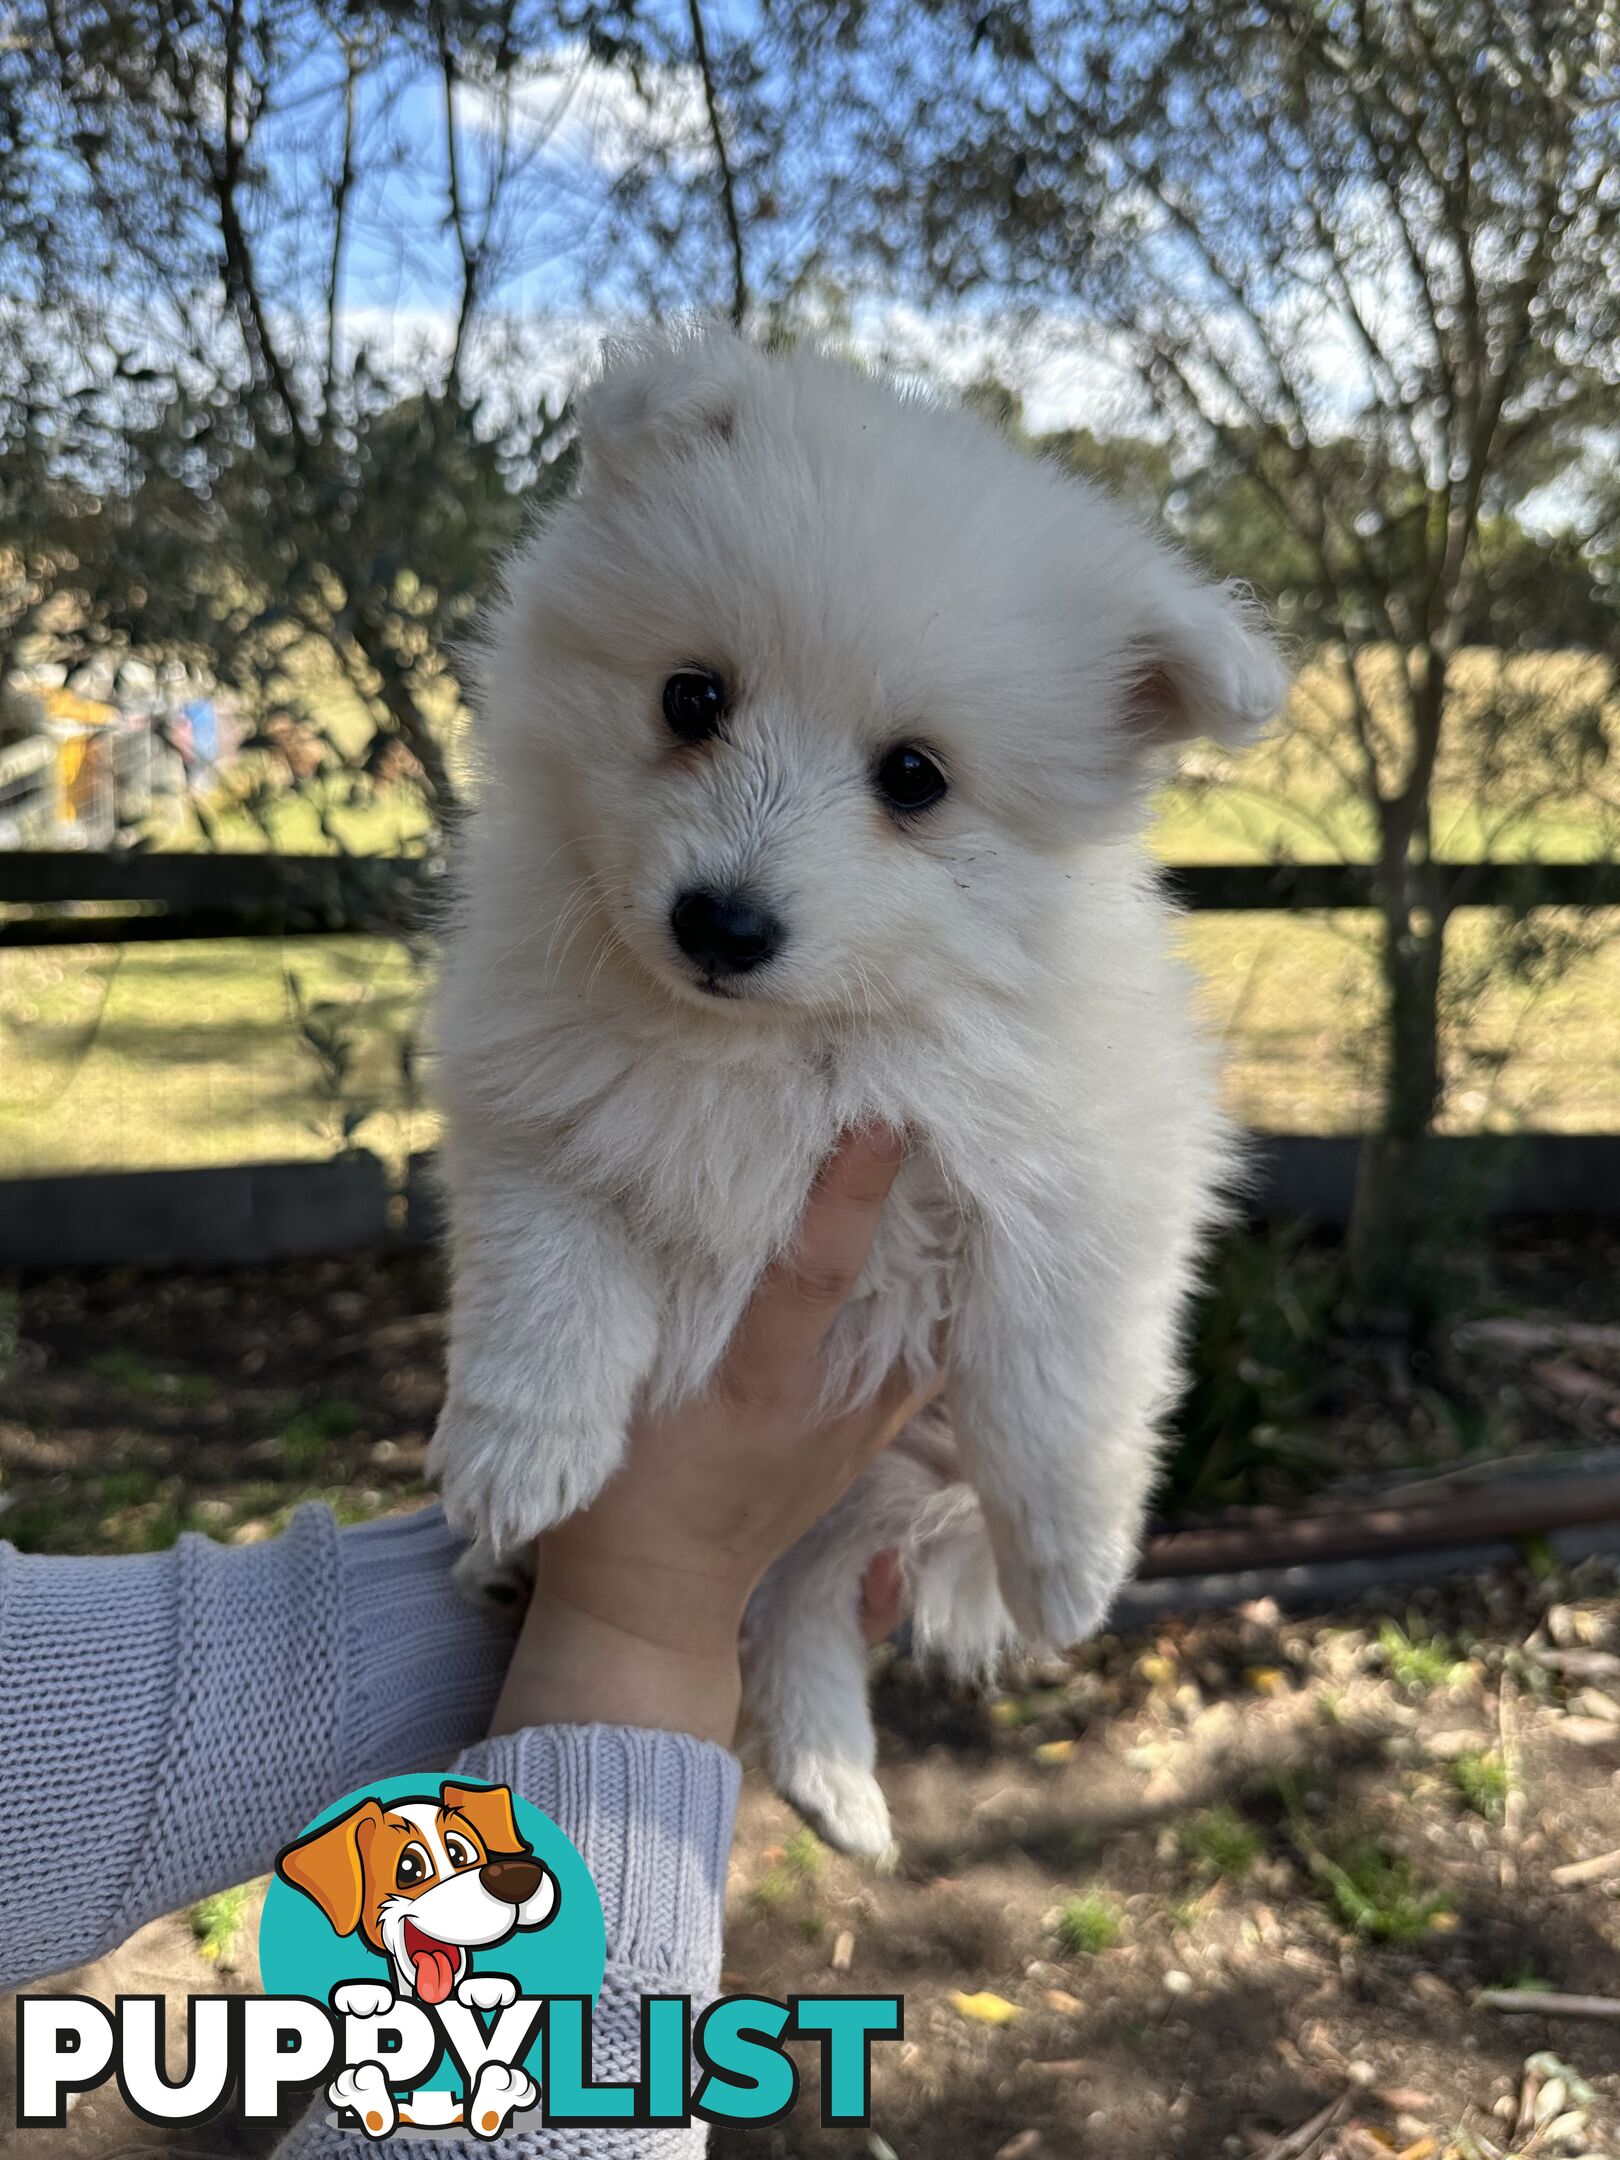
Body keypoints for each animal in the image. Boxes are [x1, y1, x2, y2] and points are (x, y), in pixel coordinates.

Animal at [427, 324, 1278, 1857]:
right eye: (691, 698)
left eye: (915, 778)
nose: (721, 923)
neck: (790, 1041)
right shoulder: (540, 1114)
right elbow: (551, 1285)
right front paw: (516, 1467)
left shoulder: (1086, 1180)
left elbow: (1049, 1380)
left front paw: (1069, 1569)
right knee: (787, 1600)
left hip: (873, 1485)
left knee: (809, 1592)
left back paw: (834, 1774)